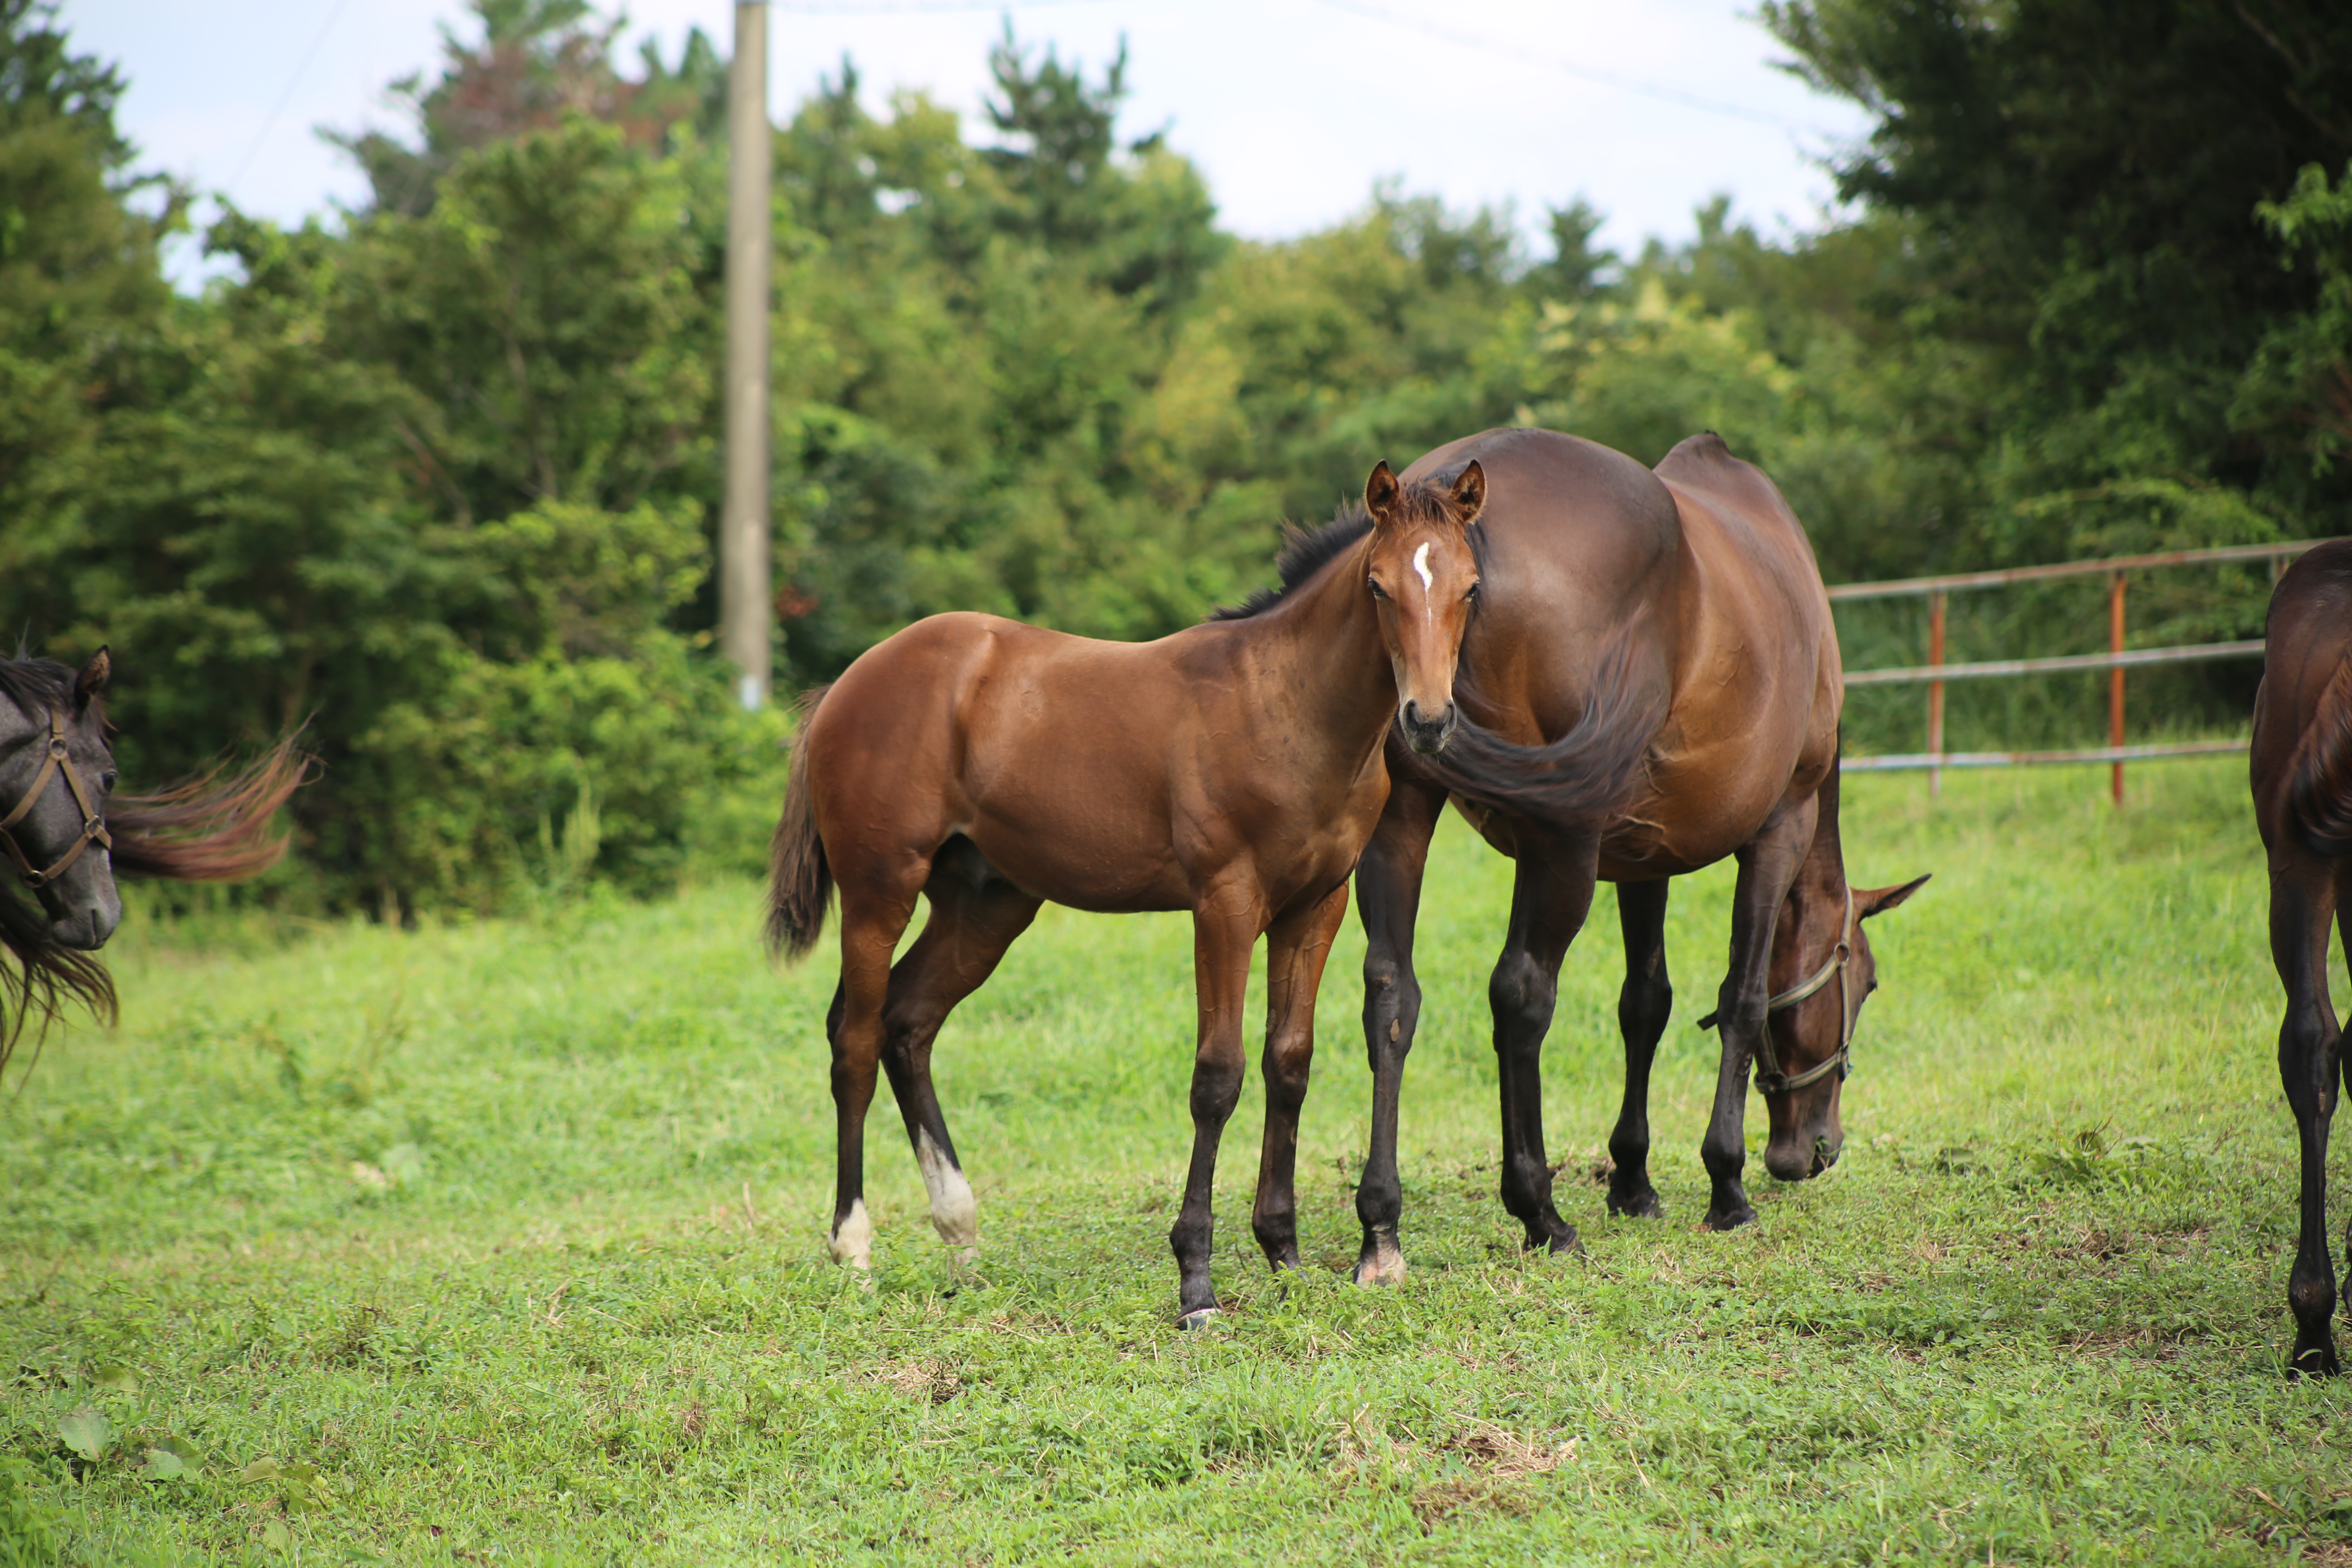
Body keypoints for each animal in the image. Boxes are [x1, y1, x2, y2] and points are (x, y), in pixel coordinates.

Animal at [1345, 430, 1929, 1288]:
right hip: (1562, 842)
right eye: (1869, 982)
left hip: (1407, 818)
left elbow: (1645, 1003)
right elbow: (1743, 998)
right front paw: (1727, 1185)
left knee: (1393, 994)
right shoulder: (1780, 827)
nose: (1819, 1150)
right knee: (1522, 994)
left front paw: (1633, 1179)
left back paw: (1382, 1229)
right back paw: (1540, 1213)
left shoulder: (1644, 856)